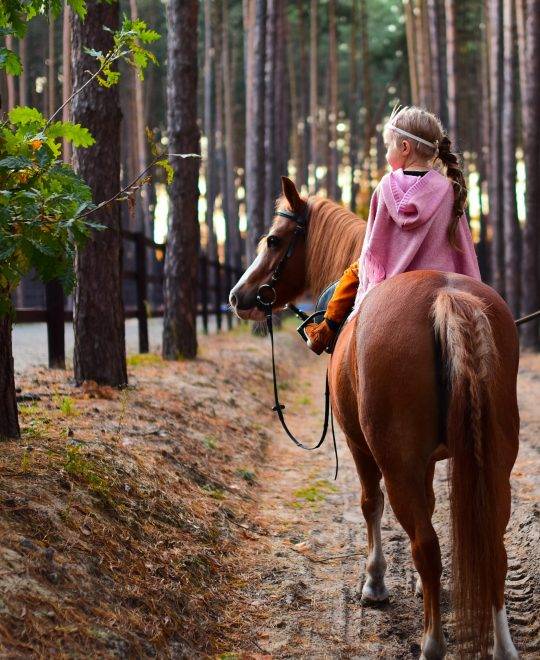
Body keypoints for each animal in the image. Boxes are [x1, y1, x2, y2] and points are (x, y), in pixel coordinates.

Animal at [230, 177, 520, 660]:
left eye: (273, 240)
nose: (238, 296)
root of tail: (446, 295)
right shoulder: (426, 463)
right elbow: (431, 508)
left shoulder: (360, 446)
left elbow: (370, 504)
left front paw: (375, 582)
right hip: (494, 458)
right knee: (492, 544)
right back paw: (502, 645)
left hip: (395, 461)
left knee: (426, 545)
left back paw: (432, 642)